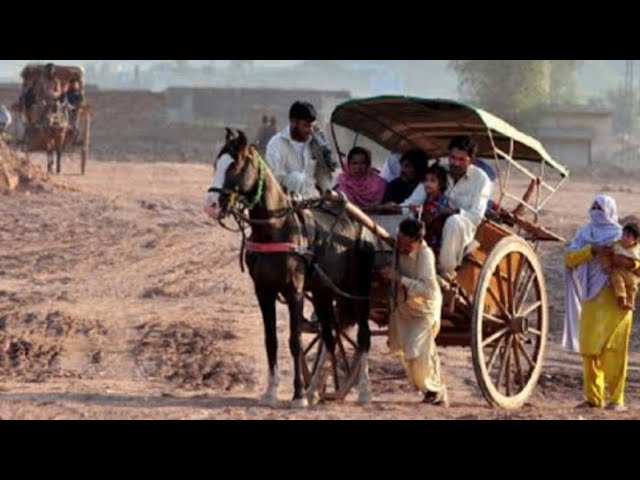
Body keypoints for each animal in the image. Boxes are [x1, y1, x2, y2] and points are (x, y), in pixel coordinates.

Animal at [205, 129, 376, 406]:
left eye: (235, 166)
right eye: (216, 164)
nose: (210, 205)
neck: (277, 229)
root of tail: (363, 221)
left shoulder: (295, 291)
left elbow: (294, 340)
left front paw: (296, 395)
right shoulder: (263, 292)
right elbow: (271, 341)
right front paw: (271, 392)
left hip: (359, 288)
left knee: (363, 336)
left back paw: (363, 391)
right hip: (323, 291)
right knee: (330, 335)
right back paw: (314, 389)